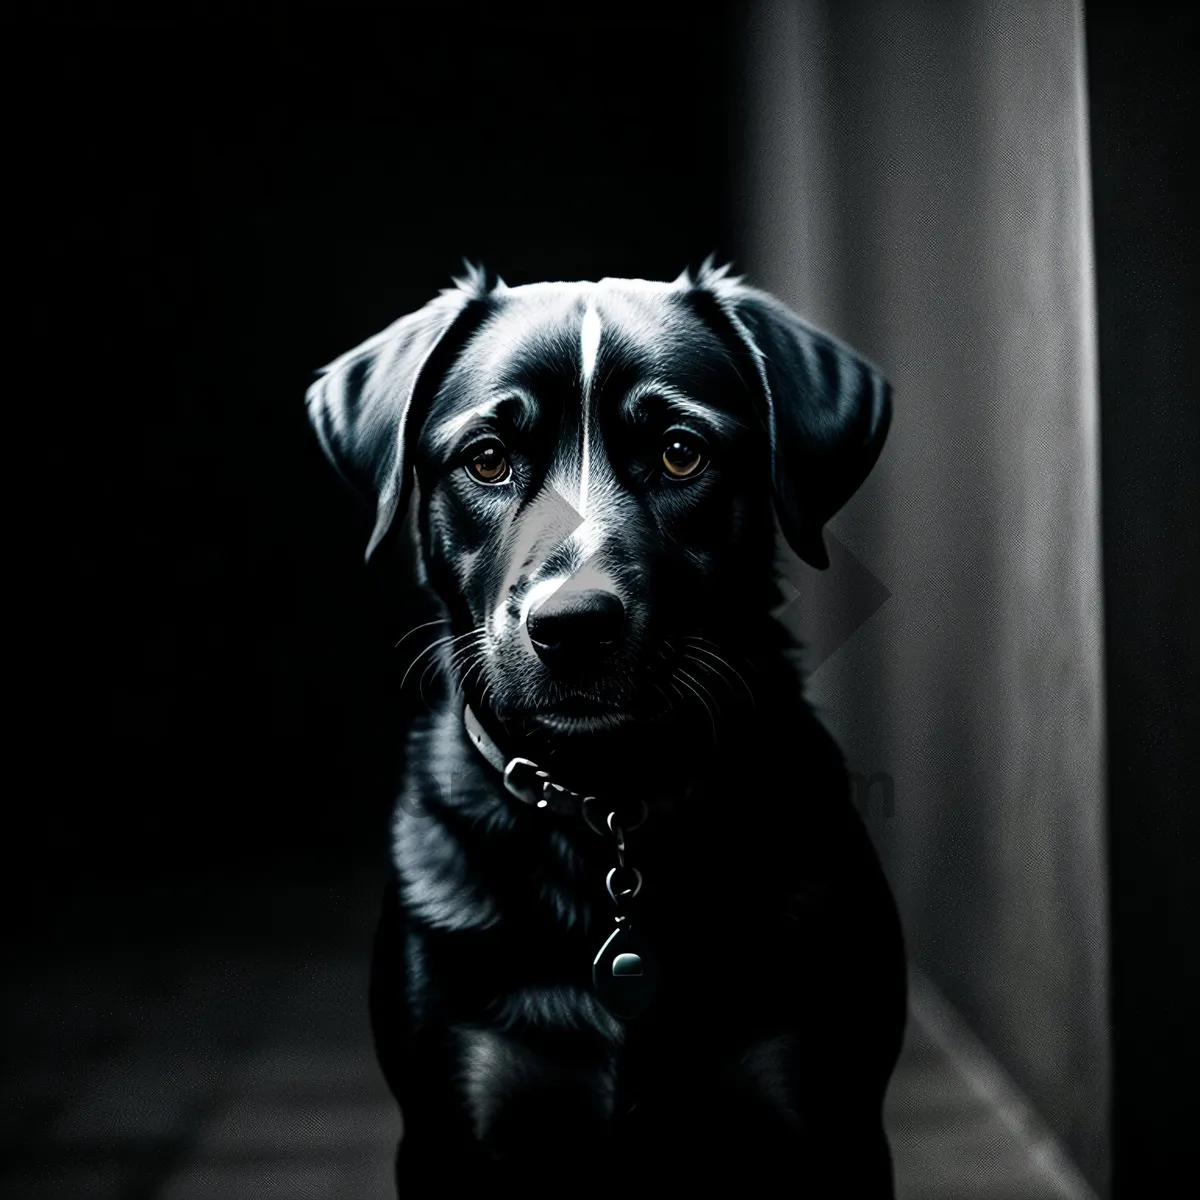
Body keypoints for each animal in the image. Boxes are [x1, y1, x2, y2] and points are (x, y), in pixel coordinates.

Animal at [304, 260, 902, 1190]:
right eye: (487, 458)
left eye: (680, 452)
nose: (573, 625)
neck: (608, 800)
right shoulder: (455, 1119)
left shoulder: (822, 1108)